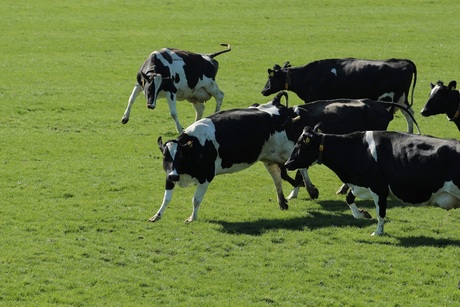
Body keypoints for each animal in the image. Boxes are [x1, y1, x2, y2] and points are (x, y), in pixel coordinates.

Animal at [262, 58, 416, 133]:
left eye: (270, 77)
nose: (263, 91)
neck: (308, 75)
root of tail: (403, 61)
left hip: (390, 97)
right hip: (401, 99)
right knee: (409, 113)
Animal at [286, 126, 458, 237]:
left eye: (300, 144)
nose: (287, 164)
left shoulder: (378, 187)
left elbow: (380, 212)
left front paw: (378, 231)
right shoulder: (360, 184)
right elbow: (349, 198)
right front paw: (363, 214)